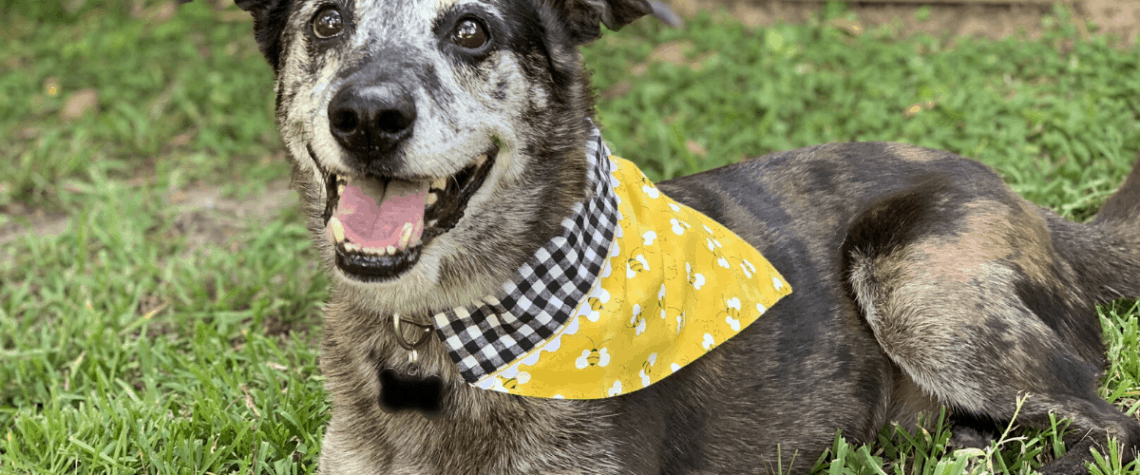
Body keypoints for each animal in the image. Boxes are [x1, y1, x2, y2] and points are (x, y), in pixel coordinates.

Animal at [189, 0, 1140, 469]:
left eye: (471, 29)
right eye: (327, 21)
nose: (367, 118)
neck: (442, 333)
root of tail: (1030, 206)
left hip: (919, 280)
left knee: (1109, 429)